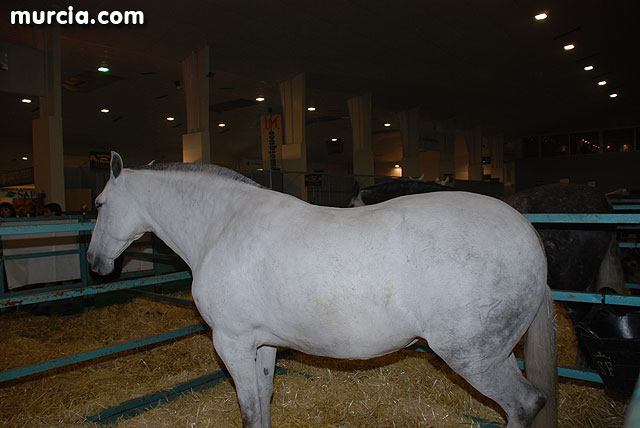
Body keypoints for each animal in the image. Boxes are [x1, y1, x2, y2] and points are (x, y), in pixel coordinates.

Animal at [87, 154, 556, 428]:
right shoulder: (261, 344)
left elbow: (249, 408)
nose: (95, 263)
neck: (222, 226)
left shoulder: (231, 343)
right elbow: (263, 401)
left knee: (523, 405)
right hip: (493, 354)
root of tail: (528, 235)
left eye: (99, 205)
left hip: (474, 357)